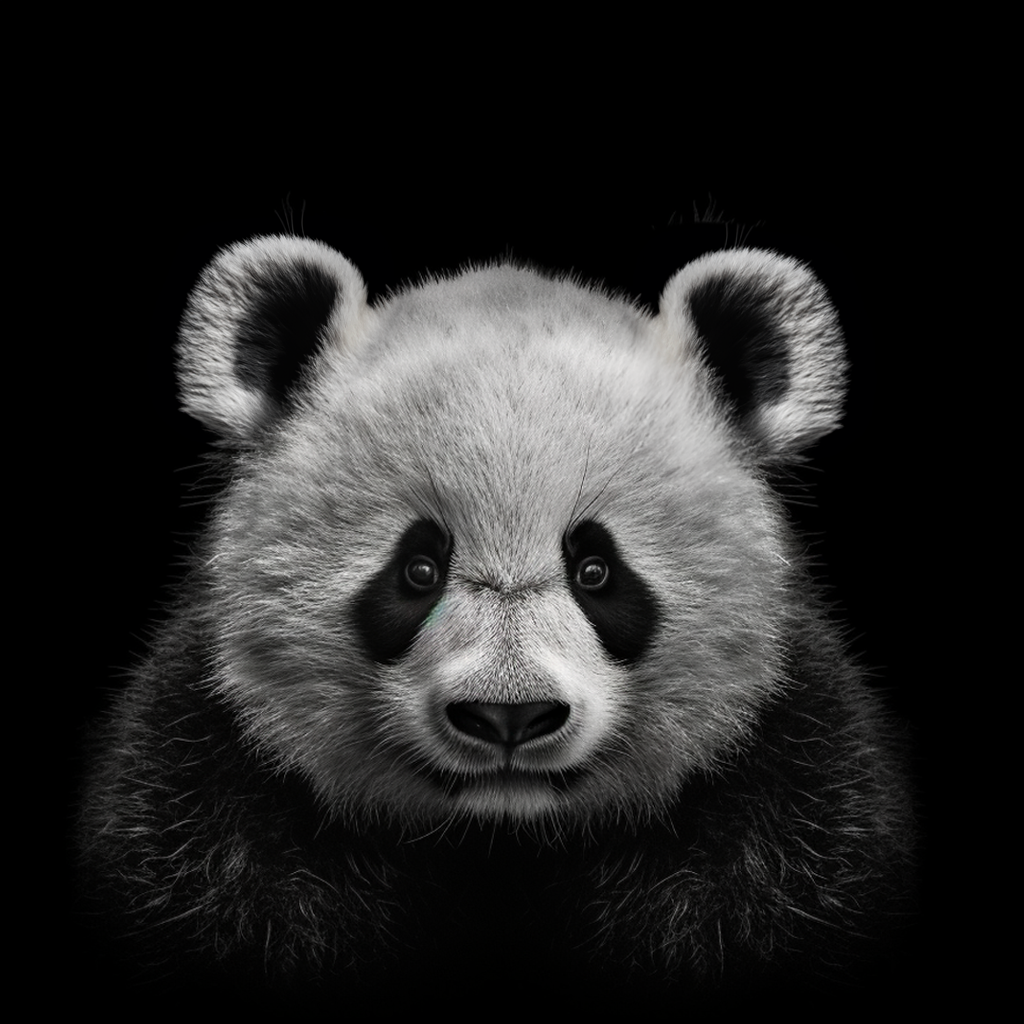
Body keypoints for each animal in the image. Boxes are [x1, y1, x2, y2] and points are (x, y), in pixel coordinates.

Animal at [79, 235, 913, 1003]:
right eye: (417, 570)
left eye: (596, 570)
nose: (508, 716)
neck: (501, 840)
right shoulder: (204, 782)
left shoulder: (792, 787)